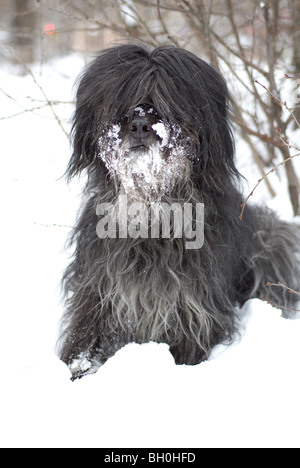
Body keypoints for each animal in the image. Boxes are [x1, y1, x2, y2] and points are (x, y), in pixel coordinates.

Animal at [59, 44, 300, 380]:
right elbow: (85, 341)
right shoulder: (98, 294)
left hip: (274, 238)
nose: (139, 125)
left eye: (167, 98)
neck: (152, 212)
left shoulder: (192, 309)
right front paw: (76, 372)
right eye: (122, 97)